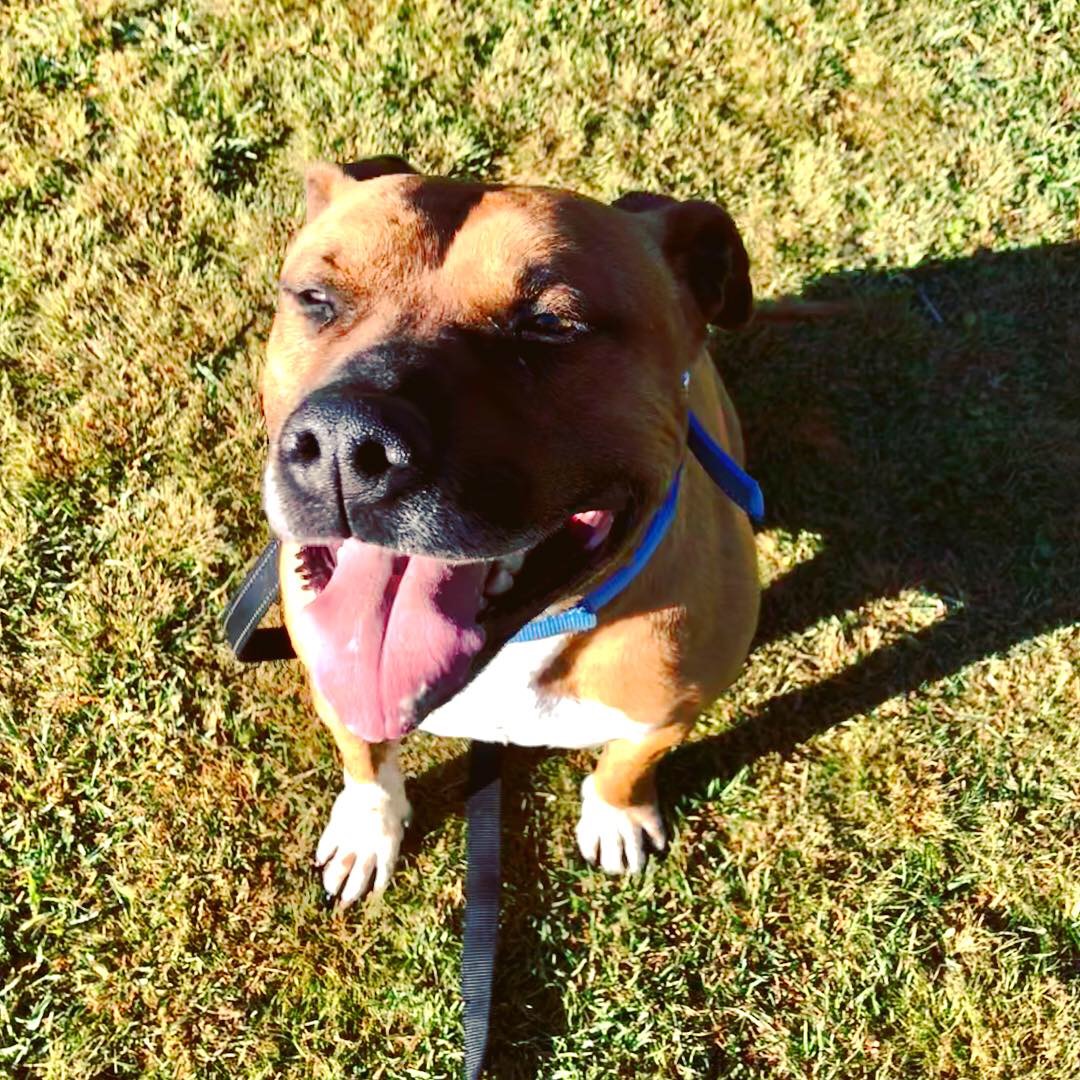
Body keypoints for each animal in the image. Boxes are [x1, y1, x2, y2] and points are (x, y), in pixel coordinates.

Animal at [259, 156, 760, 905]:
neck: (530, 630)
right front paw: (367, 827)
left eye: (551, 325)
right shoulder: (333, 679)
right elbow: (364, 756)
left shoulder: (672, 710)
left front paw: (617, 814)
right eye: (316, 298)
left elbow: (628, 763)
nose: (348, 443)